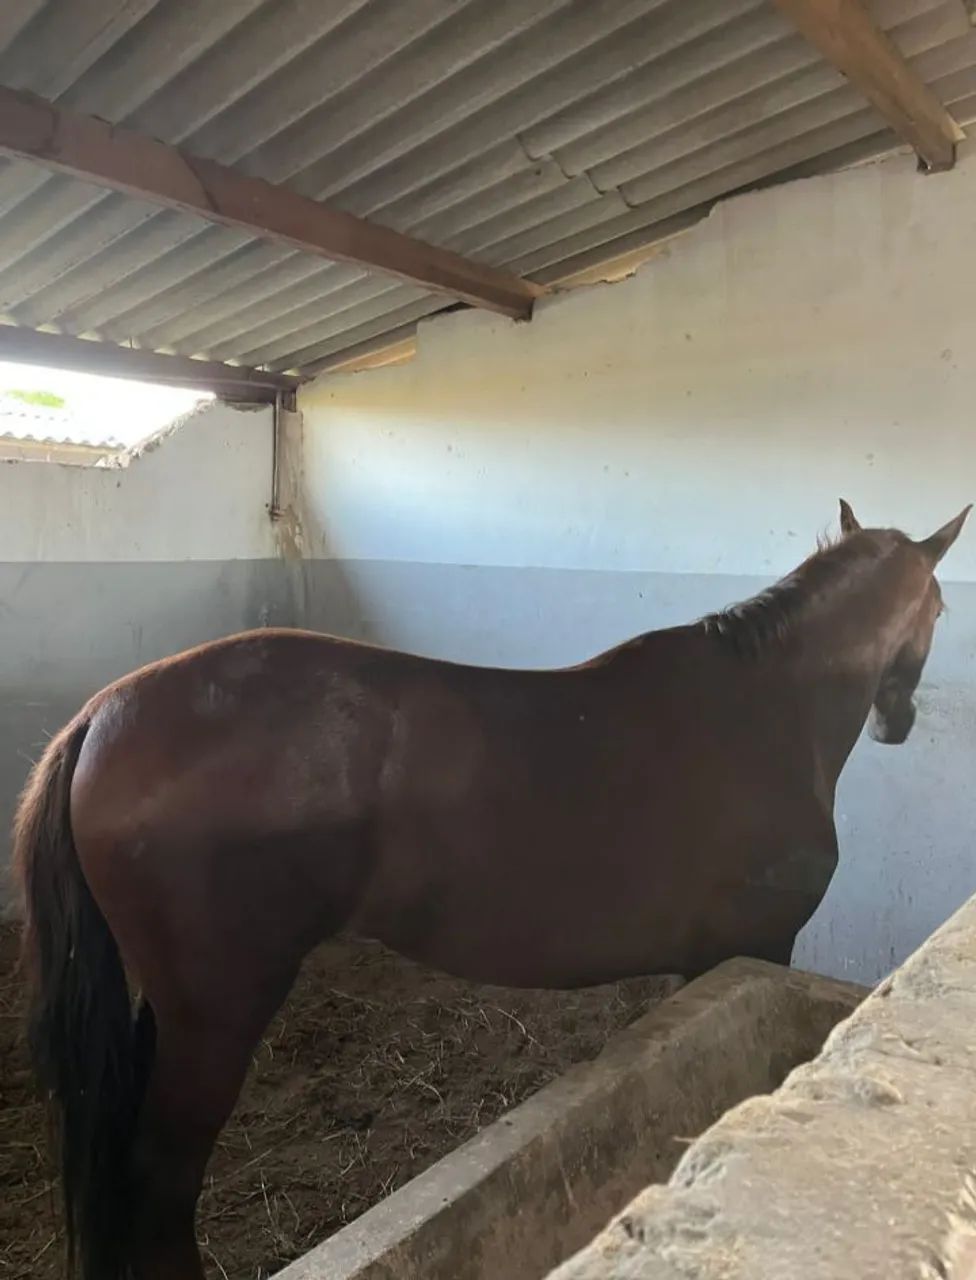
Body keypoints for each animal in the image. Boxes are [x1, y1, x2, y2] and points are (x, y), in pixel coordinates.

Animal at [13, 499, 968, 1280]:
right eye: (941, 608)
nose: (898, 720)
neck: (767, 711)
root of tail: (102, 716)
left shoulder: (701, 968)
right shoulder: (756, 948)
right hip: (218, 1015)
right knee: (161, 1179)